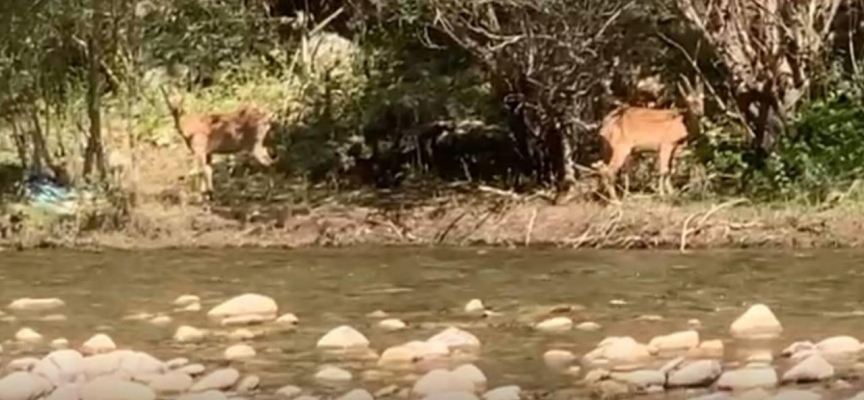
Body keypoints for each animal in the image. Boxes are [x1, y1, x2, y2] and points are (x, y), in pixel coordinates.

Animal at [596, 74, 704, 202]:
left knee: (604, 168)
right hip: (620, 147)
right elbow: (664, 170)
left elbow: (670, 171)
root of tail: (605, 126)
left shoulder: (674, 148)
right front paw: (663, 195)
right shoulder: (666, 144)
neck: (682, 123)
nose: (700, 113)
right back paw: (616, 200)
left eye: (703, 99)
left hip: (608, 148)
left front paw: (672, 193)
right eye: (689, 101)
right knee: (609, 170)